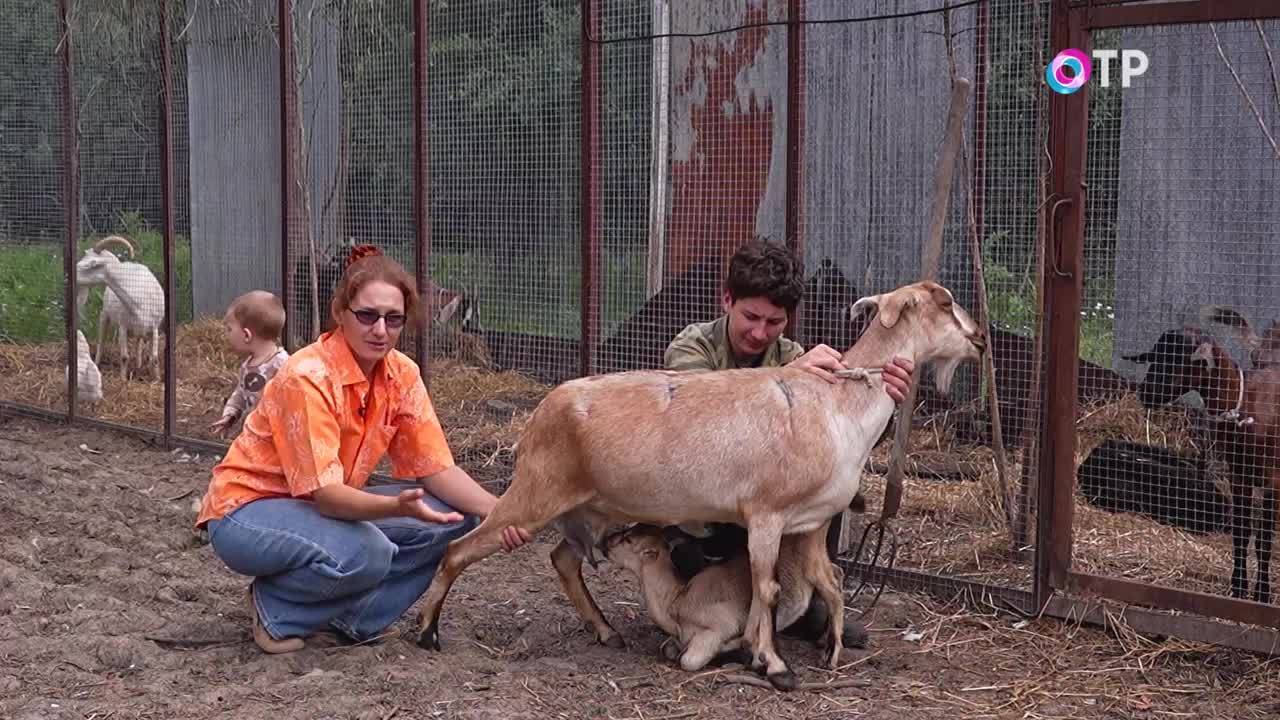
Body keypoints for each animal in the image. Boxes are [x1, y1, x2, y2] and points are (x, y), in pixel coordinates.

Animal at [1126, 308, 1280, 599]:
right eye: (1156, 355)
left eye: (1183, 359)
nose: (1146, 392)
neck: (1245, 407)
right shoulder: (1238, 476)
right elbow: (1242, 533)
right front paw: (1238, 587)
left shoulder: (1273, 481)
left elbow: (1264, 539)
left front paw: (1262, 594)